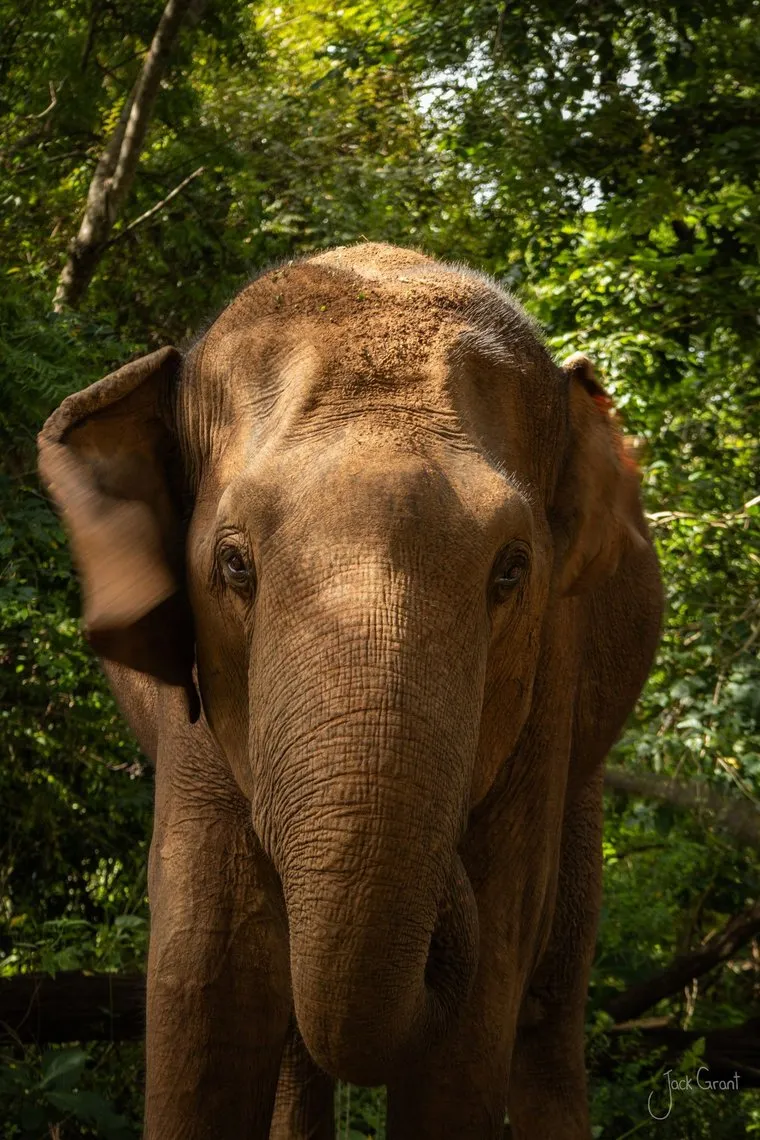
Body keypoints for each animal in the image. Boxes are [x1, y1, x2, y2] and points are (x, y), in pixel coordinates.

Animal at [38, 243, 662, 1139]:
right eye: (234, 564)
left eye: (511, 571)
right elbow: (209, 982)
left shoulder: (551, 673)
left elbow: (482, 1004)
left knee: (549, 999)